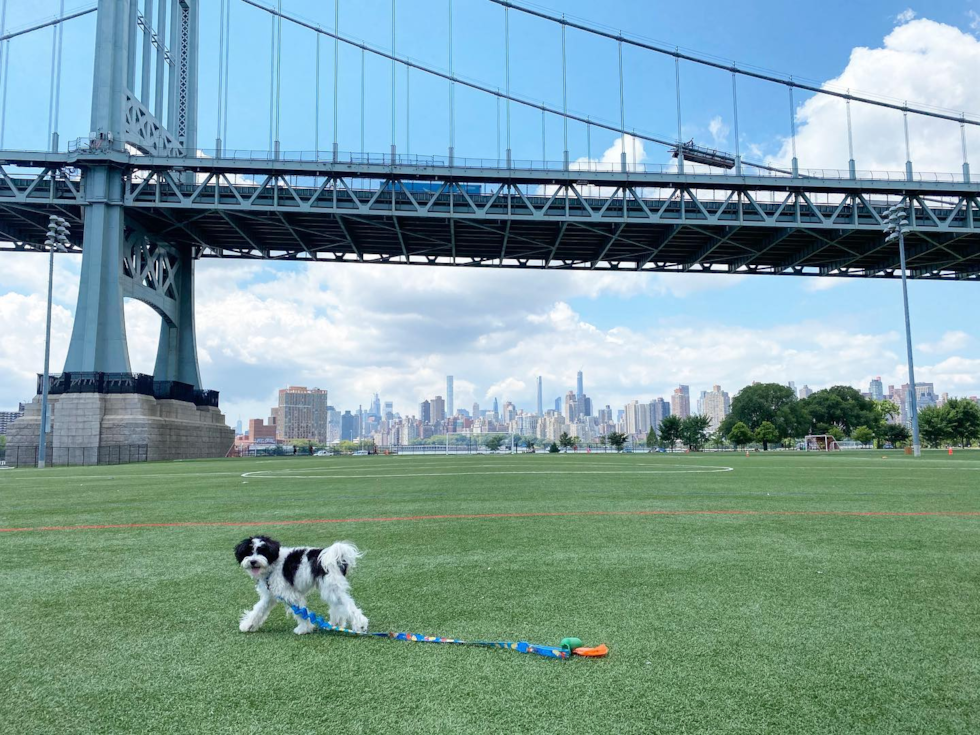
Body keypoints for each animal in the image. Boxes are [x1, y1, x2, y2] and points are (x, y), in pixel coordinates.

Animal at [234, 536, 368, 636]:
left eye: (262, 551)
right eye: (249, 552)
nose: (253, 561)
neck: (273, 565)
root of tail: (331, 556)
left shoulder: (290, 595)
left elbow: (301, 613)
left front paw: (304, 629)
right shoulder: (269, 596)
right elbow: (258, 609)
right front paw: (248, 625)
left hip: (331, 588)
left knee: (349, 605)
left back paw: (360, 626)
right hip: (330, 589)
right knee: (339, 605)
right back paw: (336, 624)